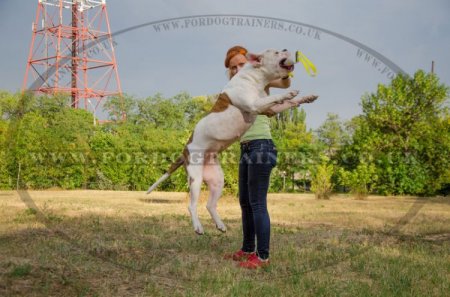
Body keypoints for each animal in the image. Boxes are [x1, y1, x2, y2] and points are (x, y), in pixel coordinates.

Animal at [147, 48, 316, 234]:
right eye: (277, 52)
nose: (286, 49)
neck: (255, 76)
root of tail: (185, 150)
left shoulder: (269, 110)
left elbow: (288, 103)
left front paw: (307, 97)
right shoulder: (255, 104)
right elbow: (278, 97)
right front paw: (288, 92)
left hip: (217, 180)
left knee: (210, 204)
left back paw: (220, 225)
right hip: (195, 178)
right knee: (192, 205)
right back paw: (198, 227)